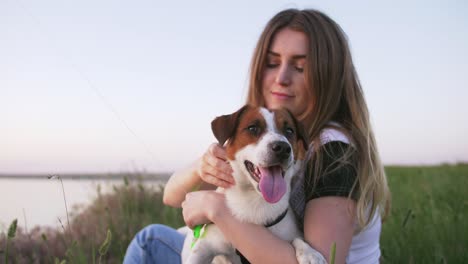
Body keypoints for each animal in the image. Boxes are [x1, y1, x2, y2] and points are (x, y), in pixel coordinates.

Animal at [180, 105, 326, 264]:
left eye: (289, 130)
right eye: (252, 128)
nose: (282, 148)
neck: (255, 202)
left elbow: (297, 239)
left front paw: (309, 252)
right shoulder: (205, 246)